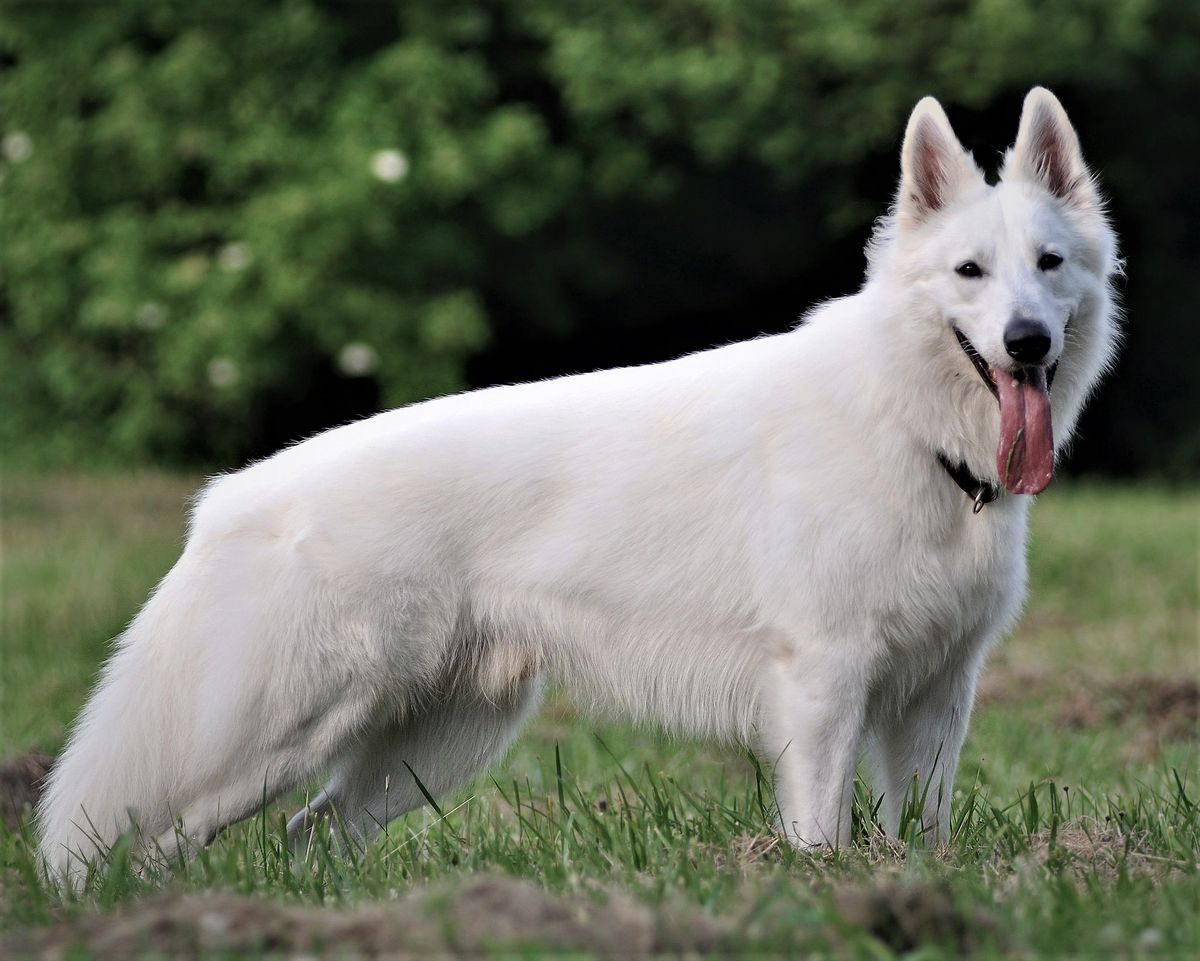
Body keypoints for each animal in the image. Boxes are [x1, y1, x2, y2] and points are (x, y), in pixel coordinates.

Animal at [42, 86, 1118, 883]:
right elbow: (822, 827)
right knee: (143, 842)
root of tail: (229, 498)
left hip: (432, 742)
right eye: (969, 272)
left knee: (311, 834)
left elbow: (919, 829)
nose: (1027, 342)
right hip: (275, 736)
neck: (905, 424)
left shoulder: (937, 693)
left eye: (1049, 264)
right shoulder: (825, 683)